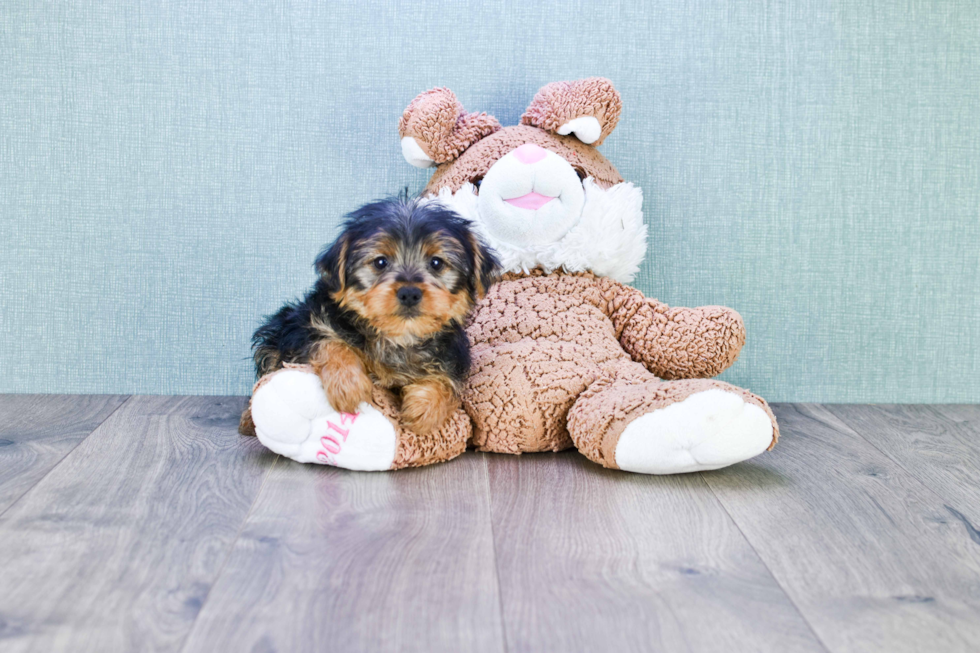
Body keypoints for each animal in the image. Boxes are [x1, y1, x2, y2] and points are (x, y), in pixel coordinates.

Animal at [238, 196, 498, 436]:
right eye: (380, 262)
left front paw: (425, 409)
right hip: (277, 332)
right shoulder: (306, 326)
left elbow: (448, 381)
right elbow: (330, 342)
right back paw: (249, 420)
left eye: (436, 263)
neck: (397, 338)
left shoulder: (453, 356)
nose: (409, 293)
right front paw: (347, 385)